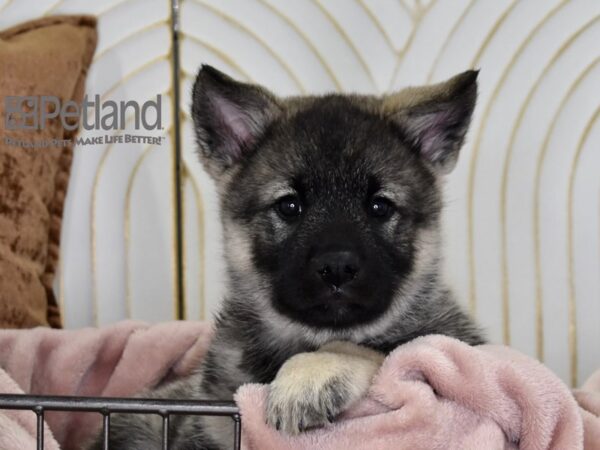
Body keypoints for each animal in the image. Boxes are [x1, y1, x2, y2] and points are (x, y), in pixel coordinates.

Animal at [88, 64, 482, 450]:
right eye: (290, 206)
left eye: (379, 207)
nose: (337, 267)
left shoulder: (455, 351)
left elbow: (379, 348)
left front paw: (313, 373)